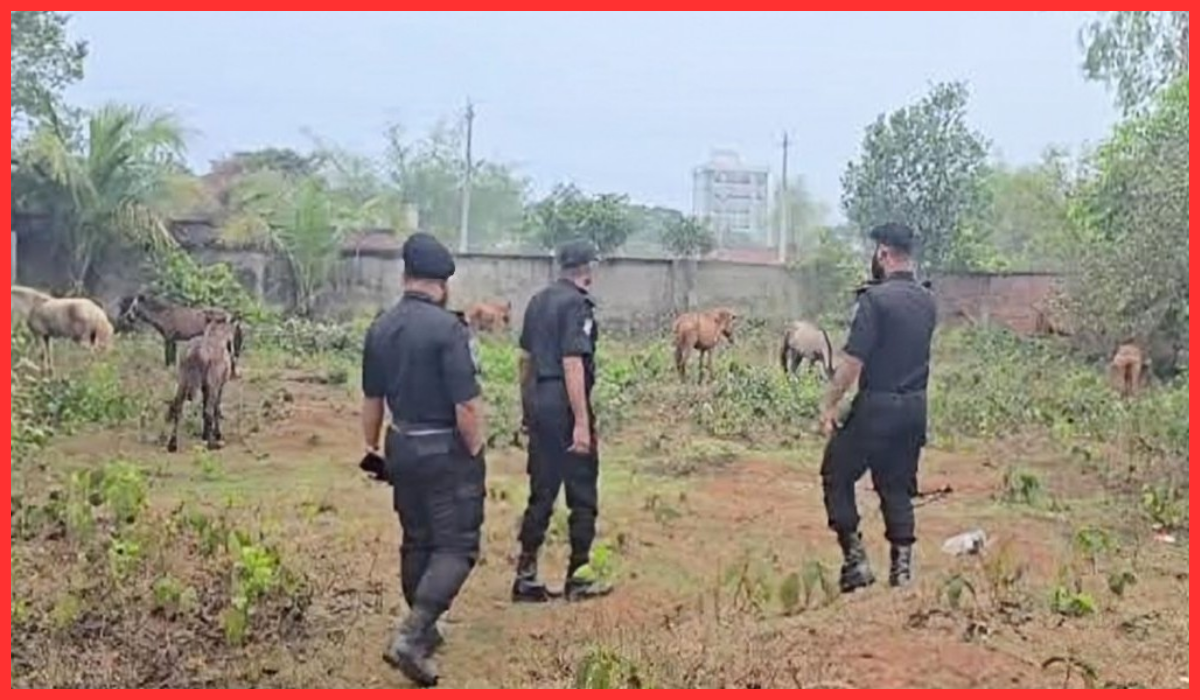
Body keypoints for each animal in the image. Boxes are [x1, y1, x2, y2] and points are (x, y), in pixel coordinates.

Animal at [166, 319, 239, 453]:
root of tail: (196, 352)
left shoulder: (205, 387)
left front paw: (205, 434)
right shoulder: (217, 386)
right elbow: (215, 409)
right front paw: (217, 435)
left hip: (182, 382)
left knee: (178, 408)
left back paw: (172, 444)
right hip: (211, 385)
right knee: (209, 411)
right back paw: (212, 444)